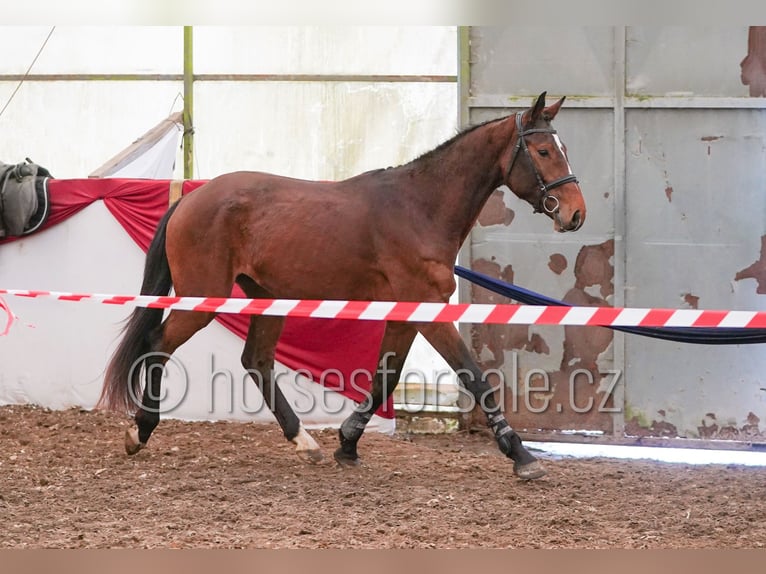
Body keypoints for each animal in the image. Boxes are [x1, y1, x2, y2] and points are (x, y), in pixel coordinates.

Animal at [97, 91, 586, 480]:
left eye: (563, 147)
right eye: (544, 150)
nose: (575, 213)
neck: (419, 208)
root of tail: (190, 200)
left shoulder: (407, 314)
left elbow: (385, 378)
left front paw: (347, 444)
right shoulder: (429, 310)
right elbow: (474, 376)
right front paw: (521, 455)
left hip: (267, 297)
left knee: (256, 361)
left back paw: (304, 442)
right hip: (203, 299)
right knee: (159, 343)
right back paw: (139, 431)